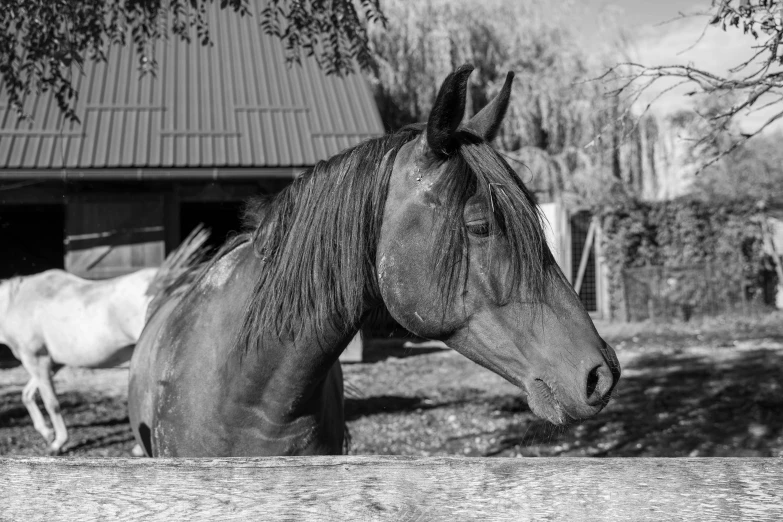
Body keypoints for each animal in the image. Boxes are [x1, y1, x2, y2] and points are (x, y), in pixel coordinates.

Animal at [0, 225, 208, 452]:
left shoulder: (36, 359)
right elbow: (27, 395)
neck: (16, 302)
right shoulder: (51, 363)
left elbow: (51, 403)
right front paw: (46, 433)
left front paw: (58, 442)